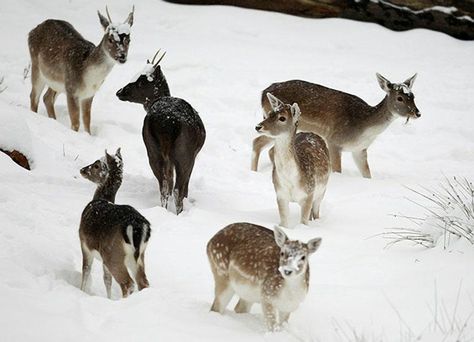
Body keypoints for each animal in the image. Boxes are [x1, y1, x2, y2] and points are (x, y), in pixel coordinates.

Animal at [78, 148, 151, 298]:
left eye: (96, 165)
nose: (82, 170)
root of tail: (137, 227)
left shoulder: (84, 244)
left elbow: (86, 271)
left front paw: (82, 291)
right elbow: (107, 279)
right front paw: (109, 298)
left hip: (113, 253)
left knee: (128, 283)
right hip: (139, 256)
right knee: (143, 283)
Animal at [116, 50, 206, 214]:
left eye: (140, 81)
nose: (119, 92)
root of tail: (166, 123)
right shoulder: (194, 154)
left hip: (152, 147)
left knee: (164, 186)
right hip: (185, 152)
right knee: (178, 188)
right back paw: (179, 212)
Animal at [250, 73, 420, 178]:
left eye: (413, 96)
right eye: (399, 98)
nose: (417, 113)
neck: (363, 127)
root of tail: (263, 93)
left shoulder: (360, 150)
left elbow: (367, 174)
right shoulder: (334, 141)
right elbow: (337, 170)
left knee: (267, 148)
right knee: (257, 142)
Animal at [256, 92, 330, 228]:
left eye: (282, 118)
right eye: (269, 113)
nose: (258, 126)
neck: (292, 181)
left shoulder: (308, 194)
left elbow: (304, 221)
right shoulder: (280, 194)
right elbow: (284, 222)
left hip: (322, 190)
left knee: (316, 212)